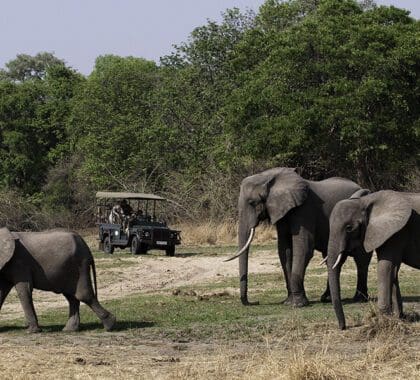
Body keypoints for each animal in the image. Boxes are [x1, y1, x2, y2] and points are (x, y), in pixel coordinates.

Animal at [226, 168, 370, 308]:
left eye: (252, 202)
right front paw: (289, 302)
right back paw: (327, 298)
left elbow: (303, 249)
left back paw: (359, 299)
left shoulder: (304, 211)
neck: (269, 176)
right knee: (332, 258)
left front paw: (298, 304)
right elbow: (284, 250)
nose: (255, 302)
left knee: (361, 259)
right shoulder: (283, 212)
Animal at [328, 190, 420, 330]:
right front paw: (399, 318)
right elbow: (393, 271)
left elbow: (385, 267)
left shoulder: (397, 233)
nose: (343, 327)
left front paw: (384, 321)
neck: (366, 201)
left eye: (349, 228)